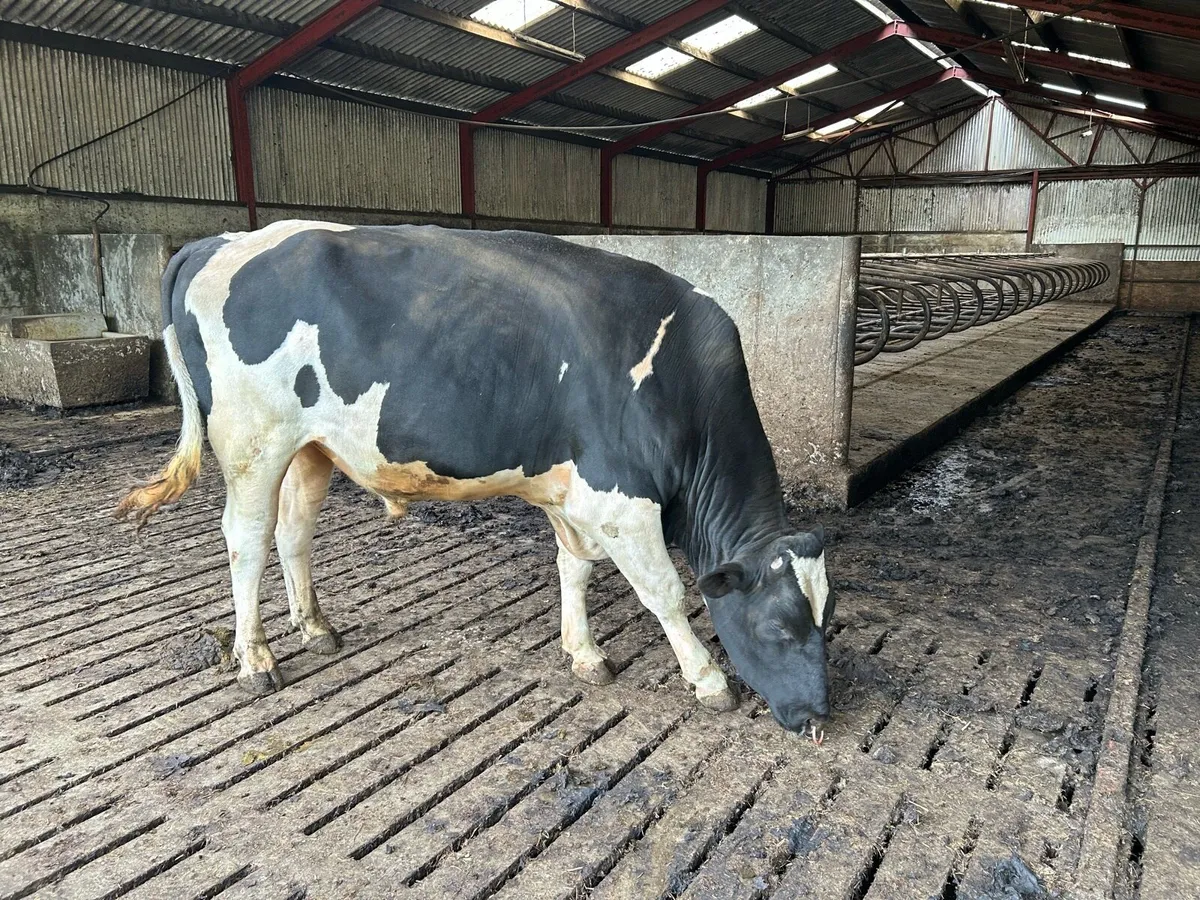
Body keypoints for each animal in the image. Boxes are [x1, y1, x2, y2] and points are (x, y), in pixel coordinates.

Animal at [117, 221, 833, 734]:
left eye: (827, 619)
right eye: (779, 628)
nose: (820, 716)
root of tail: (220, 239)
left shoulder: (571, 492)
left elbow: (574, 568)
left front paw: (584, 654)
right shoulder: (620, 501)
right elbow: (666, 594)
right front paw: (708, 680)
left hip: (309, 447)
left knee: (294, 532)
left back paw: (316, 629)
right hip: (252, 442)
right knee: (245, 538)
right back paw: (256, 660)